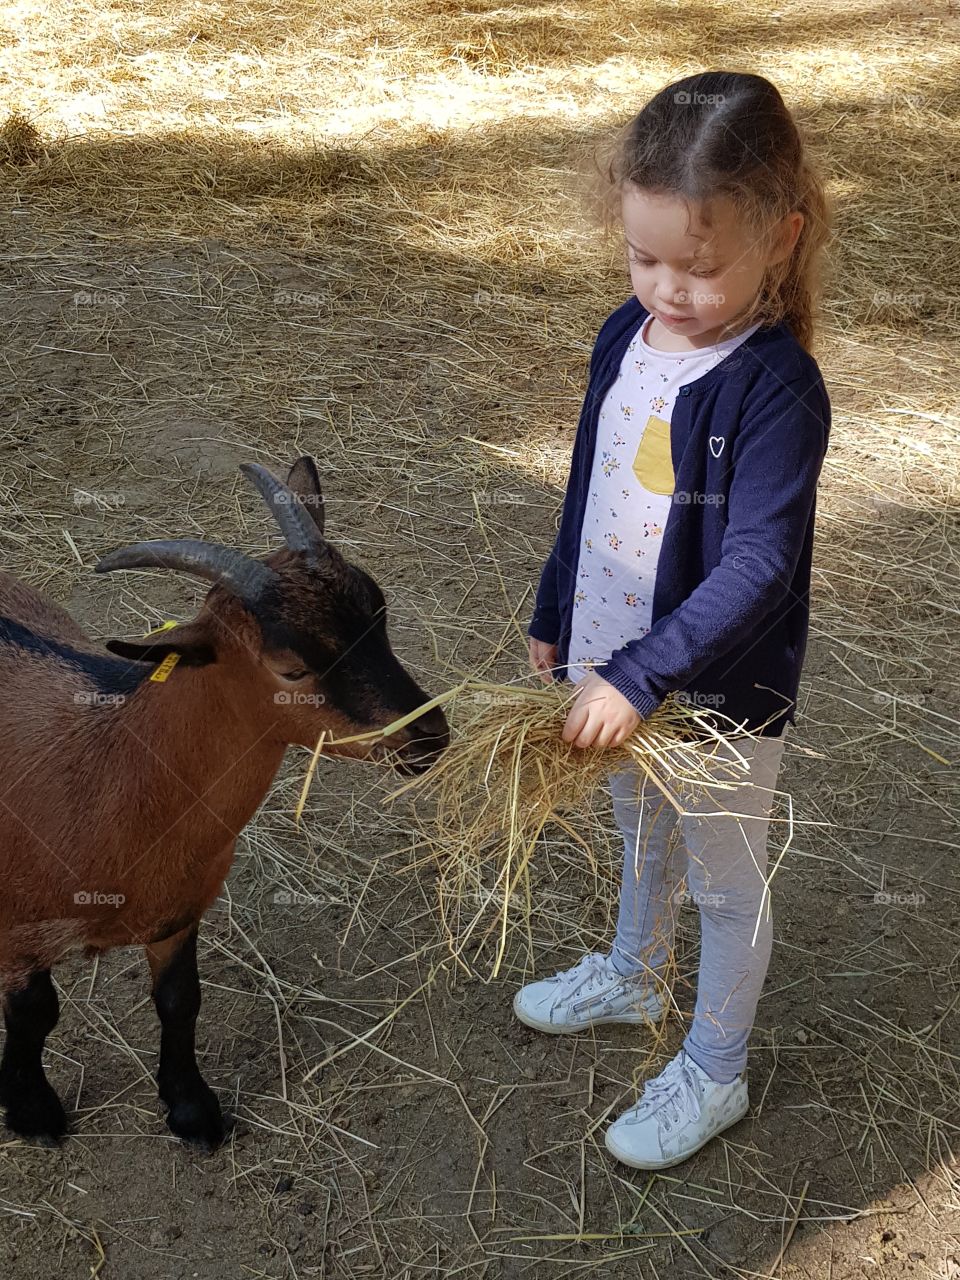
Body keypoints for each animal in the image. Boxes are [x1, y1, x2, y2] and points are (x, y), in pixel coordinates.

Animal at [0, 456, 449, 1148]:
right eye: (290, 668)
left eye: (379, 614)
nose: (431, 736)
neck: (107, 773)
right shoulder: (18, 933)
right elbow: (33, 1014)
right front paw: (32, 1113)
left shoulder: (180, 912)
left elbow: (181, 1001)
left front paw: (192, 1111)